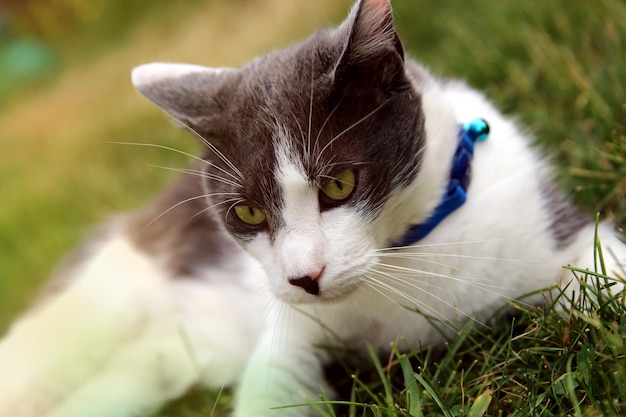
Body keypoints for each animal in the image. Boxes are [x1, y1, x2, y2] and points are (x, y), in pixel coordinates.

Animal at [1, 0, 624, 414]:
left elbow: (604, 276)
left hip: (143, 371)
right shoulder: (291, 332)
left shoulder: (549, 225)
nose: (305, 277)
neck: (404, 257)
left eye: (340, 184)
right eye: (248, 214)